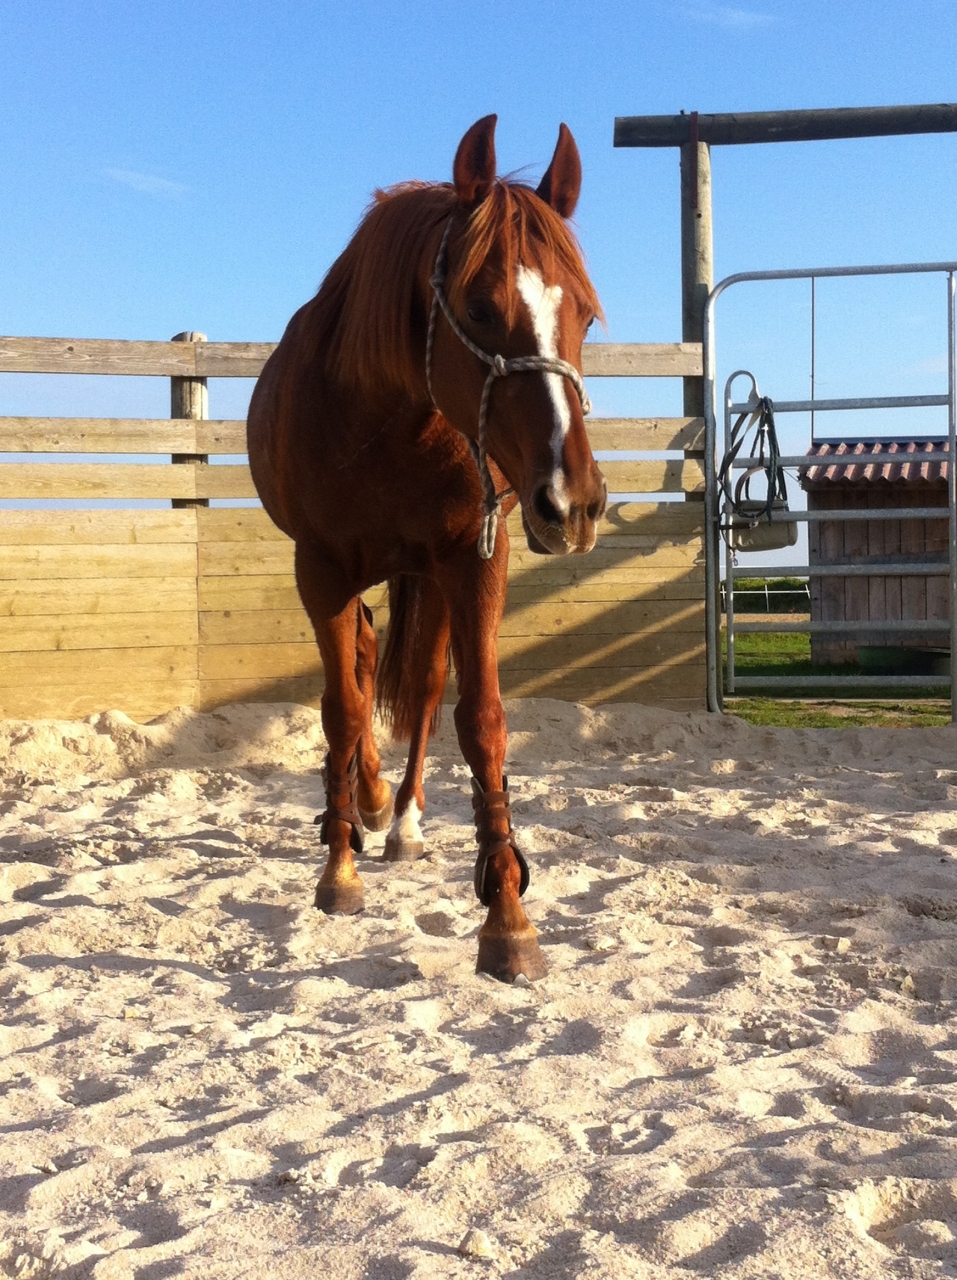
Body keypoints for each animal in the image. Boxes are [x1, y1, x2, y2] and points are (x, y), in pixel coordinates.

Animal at [247, 115, 606, 983]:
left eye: (583, 314)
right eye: (478, 307)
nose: (573, 503)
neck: (385, 421)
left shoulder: (472, 561)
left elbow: (479, 718)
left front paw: (507, 916)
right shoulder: (321, 570)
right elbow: (343, 707)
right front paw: (337, 870)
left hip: (431, 576)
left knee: (420, 684)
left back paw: (400, 817)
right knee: (362, 666)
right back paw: (363, 806)